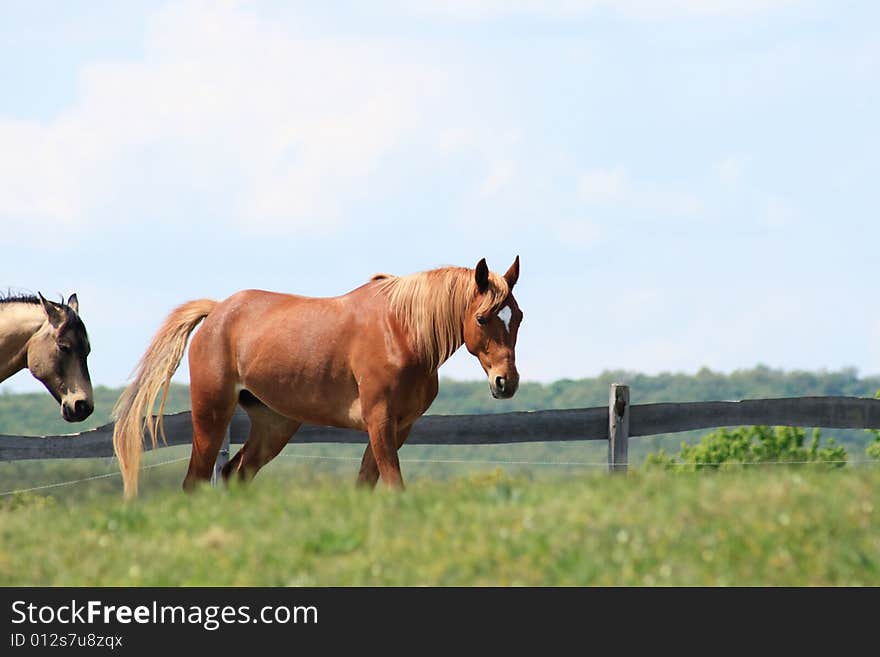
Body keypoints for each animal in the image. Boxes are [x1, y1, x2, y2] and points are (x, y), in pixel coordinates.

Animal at [112, 256, 520, 498]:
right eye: (482, 317)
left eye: (517, 316)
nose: (506, 382)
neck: (400, 331)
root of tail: (216, 312)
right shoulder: (379, 421)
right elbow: (393, 482)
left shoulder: (399, 427)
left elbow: (368, 482)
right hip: (211, 414)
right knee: (196, 481)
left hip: (274, 424)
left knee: (234, 473)